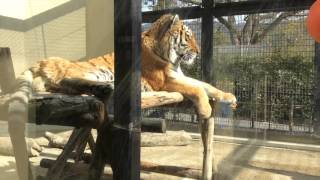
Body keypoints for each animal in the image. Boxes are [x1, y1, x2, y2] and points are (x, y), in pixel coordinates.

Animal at [15, 13, 235, 119]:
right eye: (188, 37)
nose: (198, 52)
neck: (171, 58)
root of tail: (44, 61)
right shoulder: (165, 82)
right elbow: (197, 88)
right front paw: (206, 110)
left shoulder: (179, 76)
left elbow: (206, 85)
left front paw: (230, 98)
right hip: (93, 71)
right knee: (67, 82)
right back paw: (106, 87)